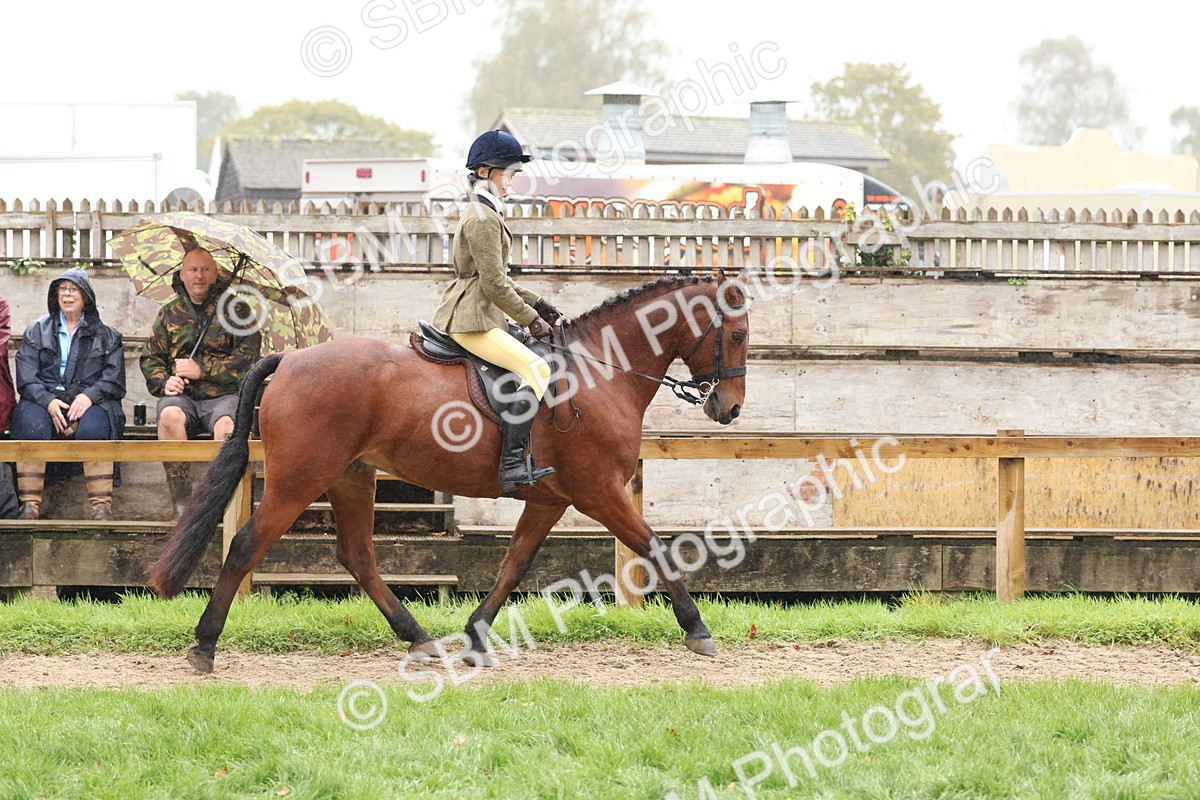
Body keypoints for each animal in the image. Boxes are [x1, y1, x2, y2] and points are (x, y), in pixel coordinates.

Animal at [148, 271, 750, 673]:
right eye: (739, 335)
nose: (730, 408)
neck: (598, 374)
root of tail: (290, 358)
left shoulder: (551, 498)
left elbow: (514, 564)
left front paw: (476, 637)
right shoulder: (599, 491)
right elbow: (654, 547)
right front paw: (698, 629)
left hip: (351, 476)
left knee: (357, 555)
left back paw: (418, 638)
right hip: (300, 479)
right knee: (246, 545)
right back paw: (204, 646)